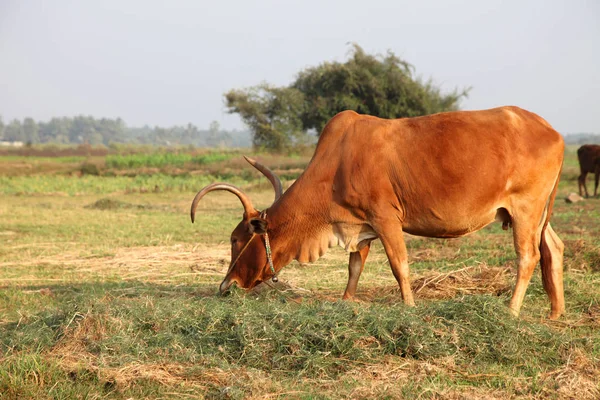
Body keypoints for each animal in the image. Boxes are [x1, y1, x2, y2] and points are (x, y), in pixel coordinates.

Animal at [190, 105, 564, 318]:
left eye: (236, 239)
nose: (226, 286)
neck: (336, 163)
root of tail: (553, 131)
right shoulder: (361, 225)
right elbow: (354, 266)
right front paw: (345, 301)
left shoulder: (385, 219)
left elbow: (399, 265)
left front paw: (409, 308)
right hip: (537, 215)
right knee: (553, 249)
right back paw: (555, 313)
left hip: (525, 210)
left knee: (528, 256)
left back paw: (511, 311)